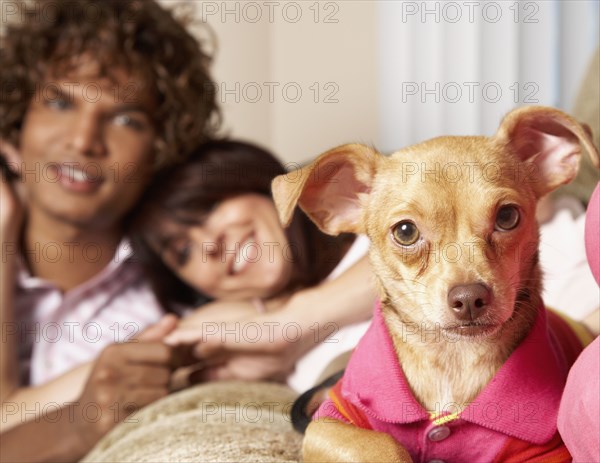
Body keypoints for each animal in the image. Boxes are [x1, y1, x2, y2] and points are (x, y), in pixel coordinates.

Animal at [274, 108, 596, 463]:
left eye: (508, 216)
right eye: (405, 231)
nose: (469, 298)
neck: (452, 360)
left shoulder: (544, 451)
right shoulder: (329, 424)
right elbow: (383, 445)